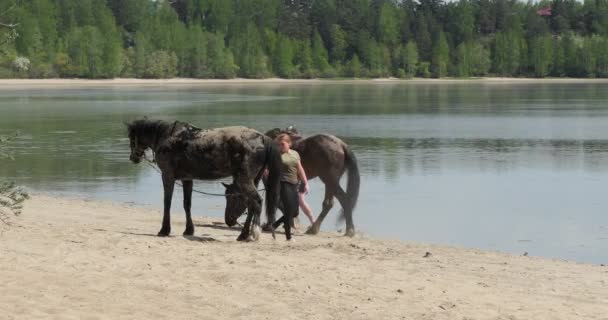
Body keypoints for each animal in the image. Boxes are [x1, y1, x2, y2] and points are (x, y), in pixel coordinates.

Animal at [127, 119, 282, 240]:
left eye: (131, 137)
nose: (133, 157)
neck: (168, 137)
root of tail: (261, 138)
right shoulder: (187, 179)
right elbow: (187, 204)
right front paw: (189, 230)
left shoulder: (167, 176)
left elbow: (167, 203)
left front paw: (164, 230)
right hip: (253, 180)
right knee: (251, 205)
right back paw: (243, 235)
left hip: (245, 180)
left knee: (256, 202)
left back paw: (252, 233)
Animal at [224, 126, 360, 236]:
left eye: (234, 198)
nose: (228, 220)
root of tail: (341, 145)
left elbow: (278, 203)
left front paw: (275, 224)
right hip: (330, 182)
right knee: (329, 203)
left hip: (330, 180)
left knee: (343, 200)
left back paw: (346, 230)